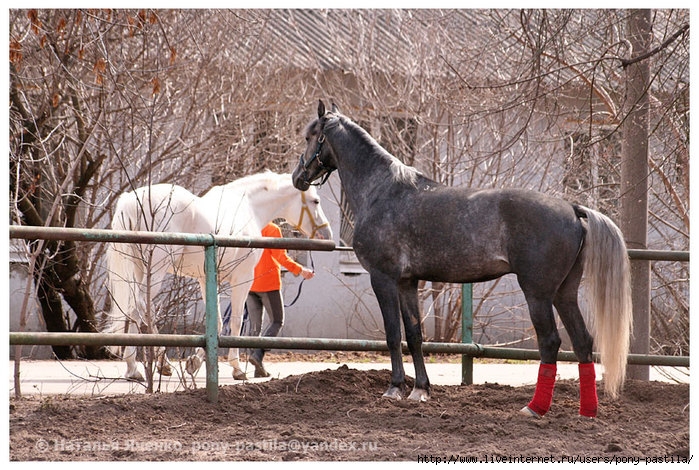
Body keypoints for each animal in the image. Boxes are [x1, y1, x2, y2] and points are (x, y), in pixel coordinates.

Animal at [104, 173, 334, 382]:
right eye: (316, 201)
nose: (327, 234)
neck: (248, 208)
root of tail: (131, 201)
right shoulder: (242, 279)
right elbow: (236, 321)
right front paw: (237, 369)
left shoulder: (206, 278)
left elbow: (216, 322)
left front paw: (194, 363)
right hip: (156, 269)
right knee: (142, 308)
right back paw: (155, 364)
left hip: (139, 270)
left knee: (134, 309)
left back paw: (139, 368)